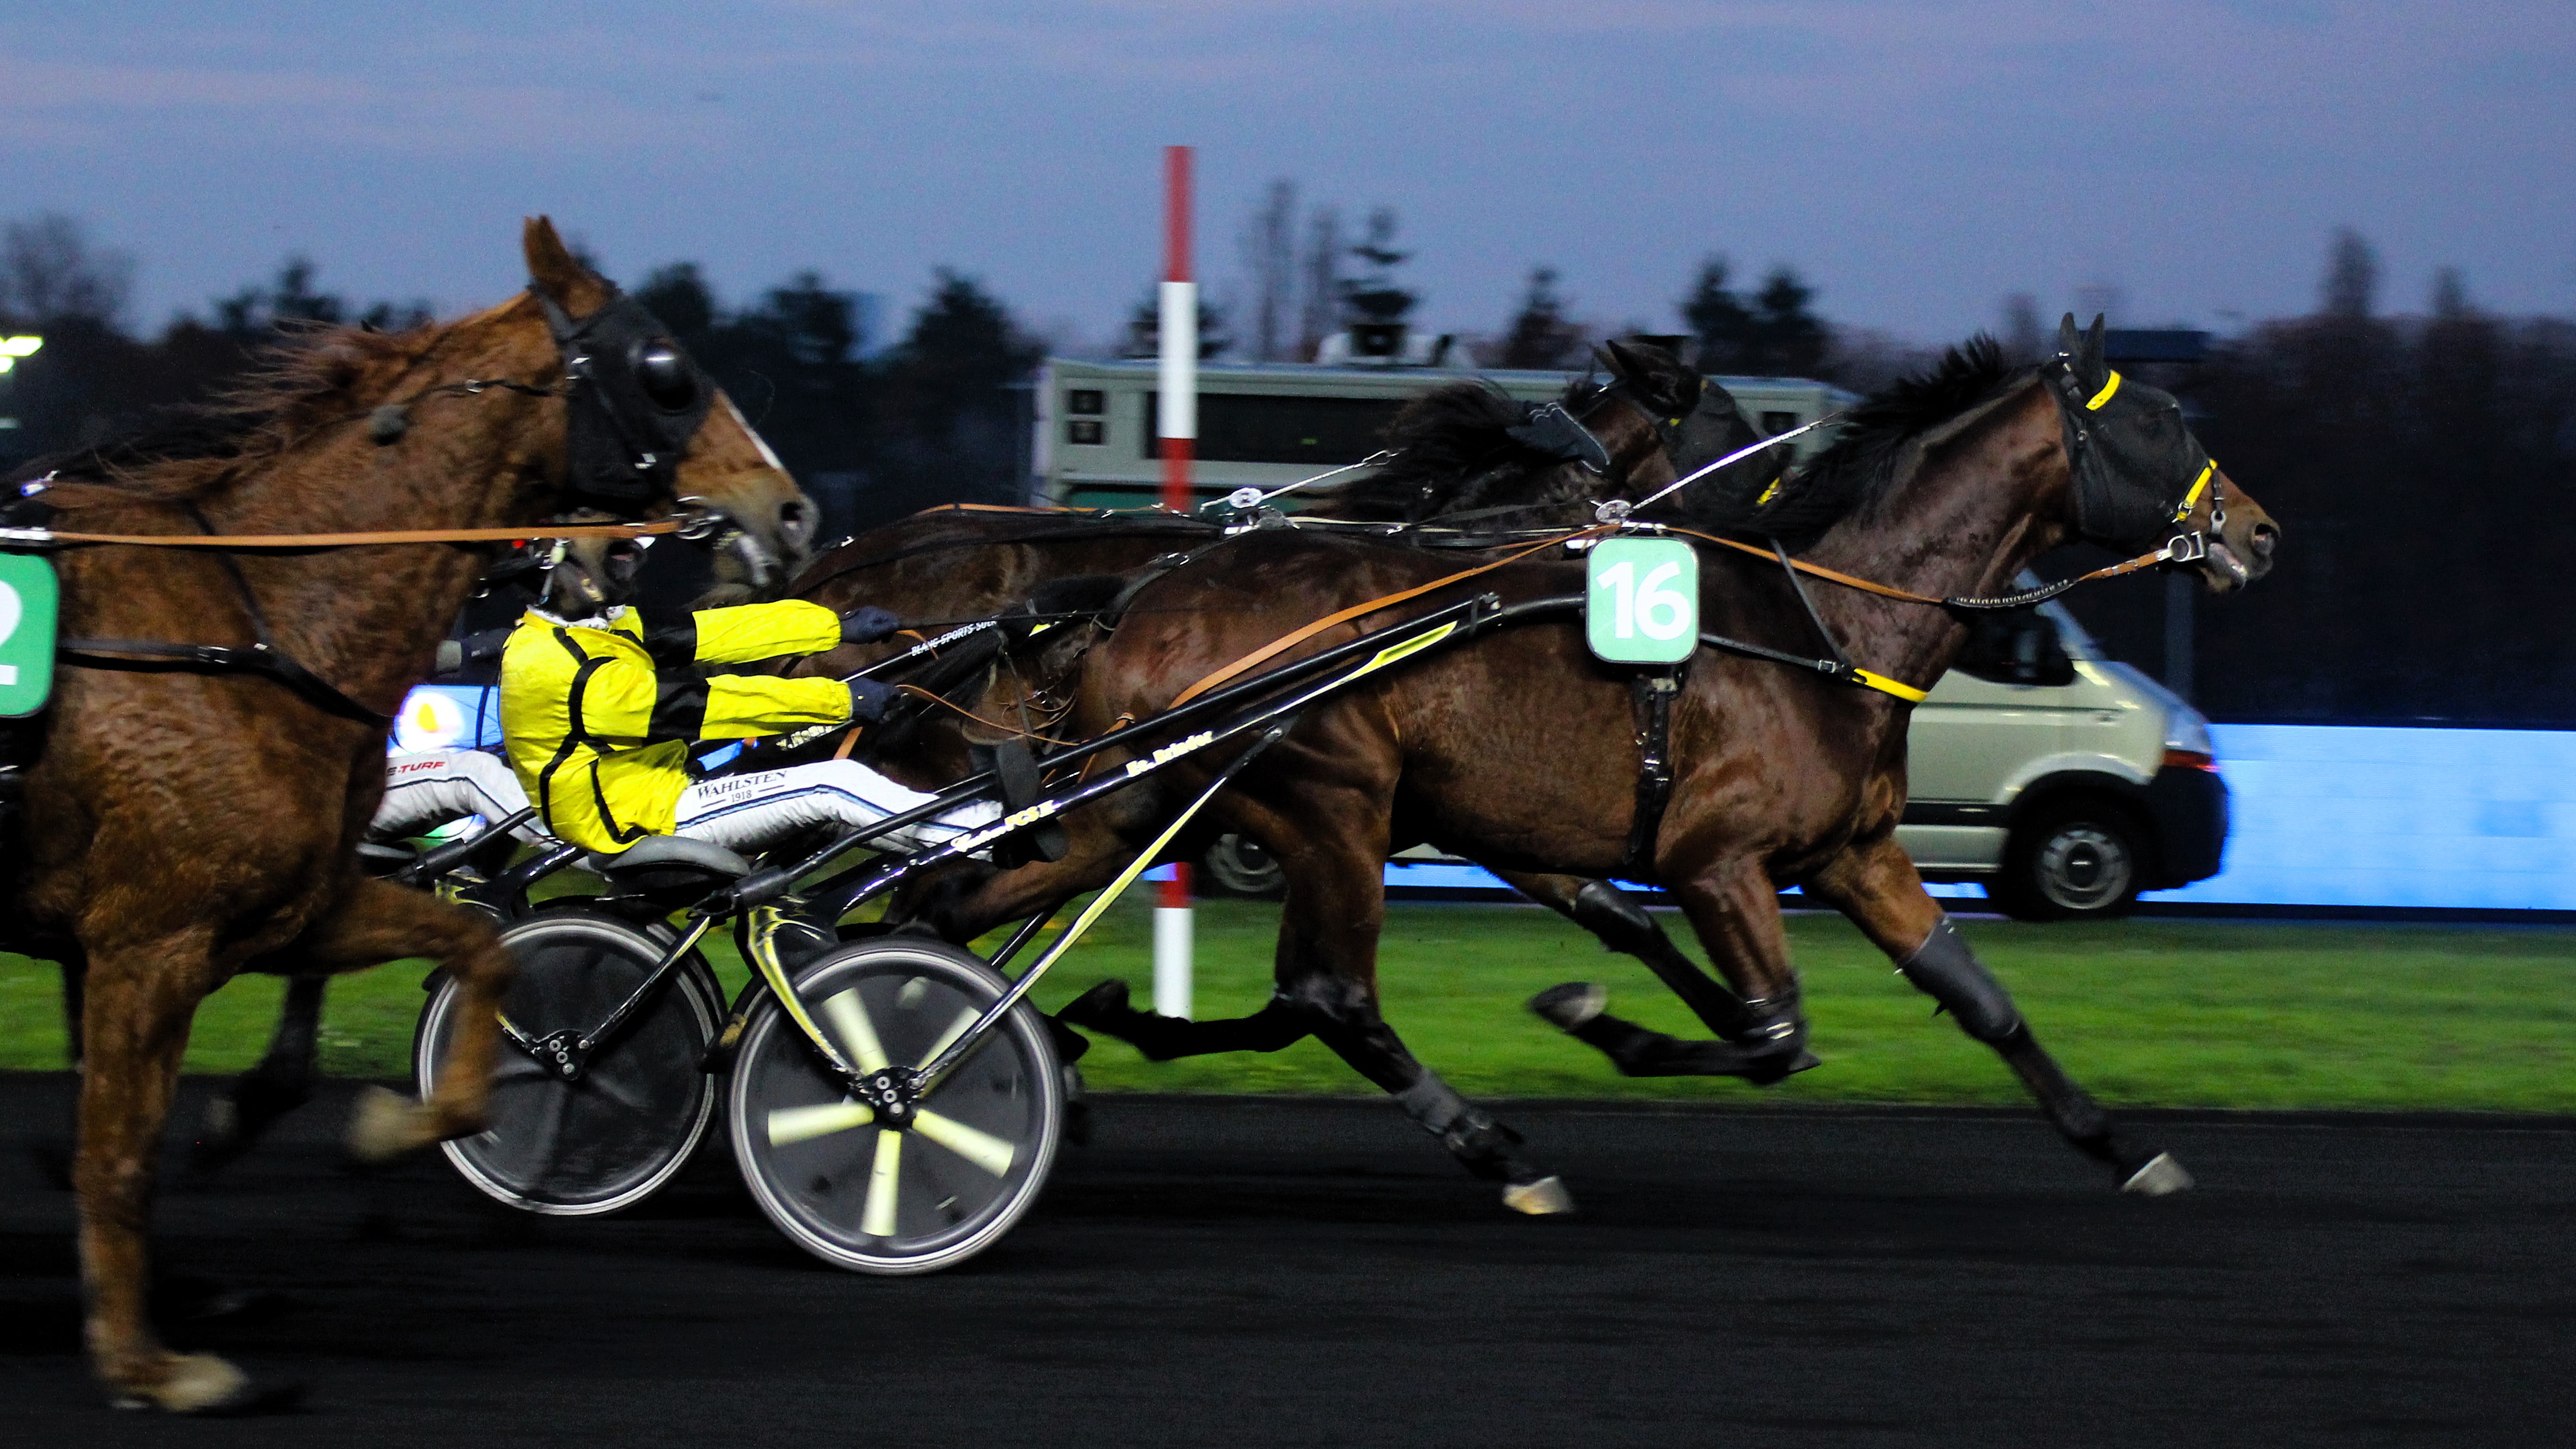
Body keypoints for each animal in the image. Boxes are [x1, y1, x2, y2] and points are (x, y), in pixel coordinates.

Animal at [20, 216, 803, 1413]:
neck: (255, 623)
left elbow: (478, 952)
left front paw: (392, 1127)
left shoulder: (292, 903)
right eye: (666, 369)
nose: (790, 508)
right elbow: (118, 1147)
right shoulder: (147, 936)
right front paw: (149, 1361)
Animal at [901, 318, 2277, 1206]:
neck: (1818, 624)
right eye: (2156, 420)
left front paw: (2121, 1143)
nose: (2256, 531)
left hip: (1147, 799)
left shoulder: (1846, 849)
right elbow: (1772, 1033)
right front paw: (1599, 1022)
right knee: (1332, 992)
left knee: (965, 901)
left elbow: (1976, 995)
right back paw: (1496, 1151)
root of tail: (1132, 603)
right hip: (1329, 799)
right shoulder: (1716, 858)